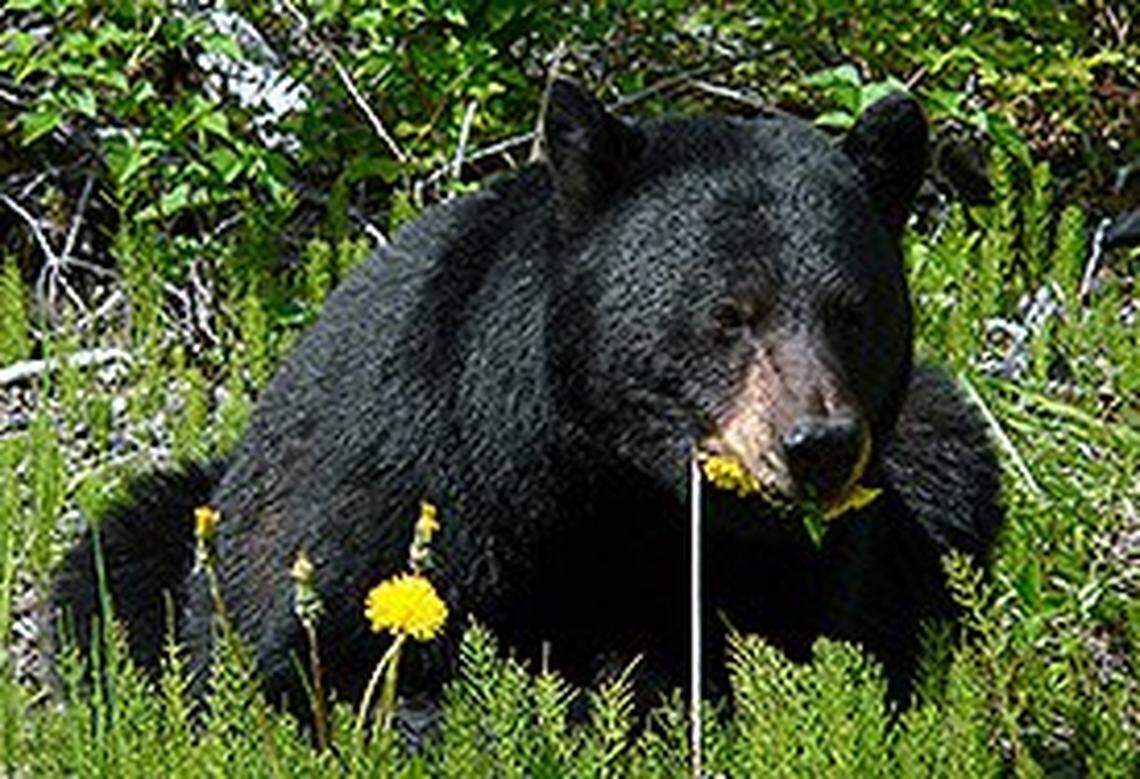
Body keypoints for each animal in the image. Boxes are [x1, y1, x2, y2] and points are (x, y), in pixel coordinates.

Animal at [52, 79, 1002, 717]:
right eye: (729, 313)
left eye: (853, 311)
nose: (818, 445)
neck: (605, 482)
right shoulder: (403, 476)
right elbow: (310, 657)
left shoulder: (794, 562)